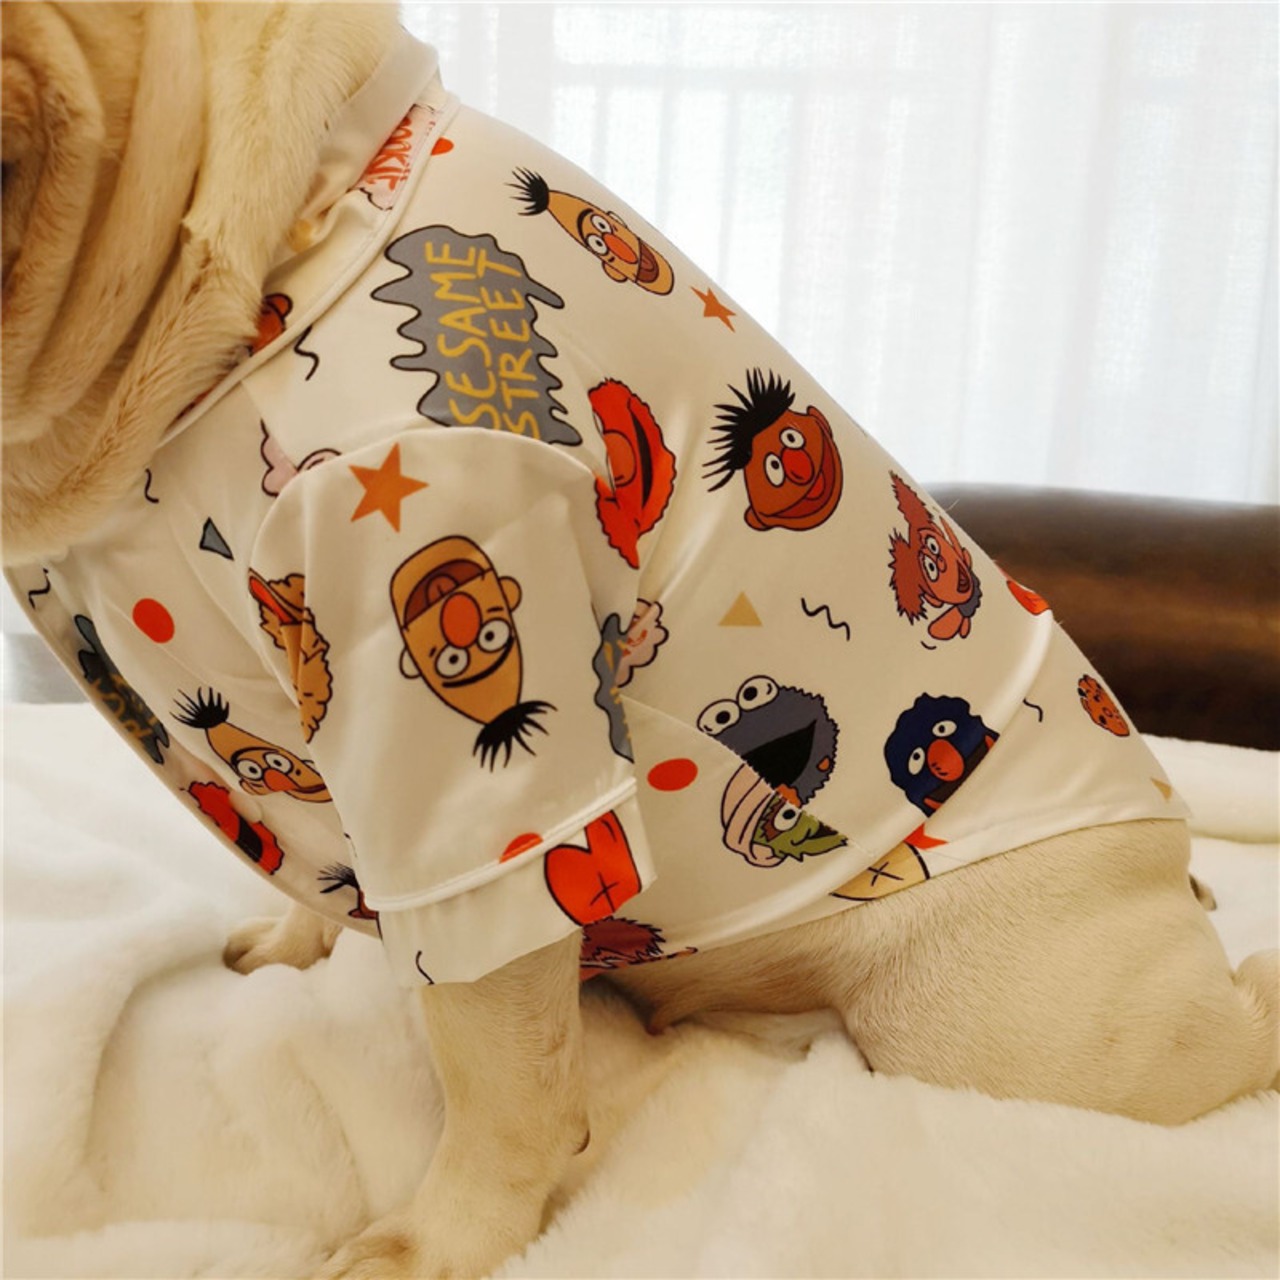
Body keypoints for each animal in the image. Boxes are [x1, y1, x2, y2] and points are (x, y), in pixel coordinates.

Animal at [4, 6, 1277, 1279]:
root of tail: (1162, 847)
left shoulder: (464, 720)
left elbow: (493, 1069)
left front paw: (435, 1240)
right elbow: (324, 861)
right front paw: (293, 938)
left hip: (1011, 1020)